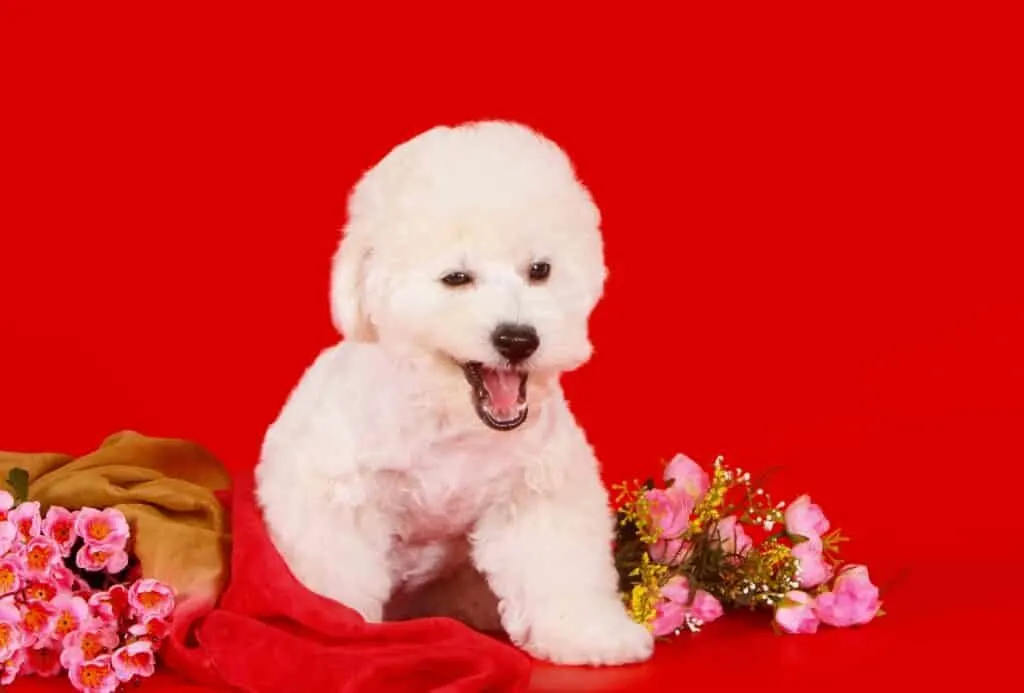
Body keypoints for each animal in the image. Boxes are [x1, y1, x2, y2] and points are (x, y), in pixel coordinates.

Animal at [256, 118, 655, 663]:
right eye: (456, 279)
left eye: (540, 270)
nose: (517, 339)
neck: (451, 421)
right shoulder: (337, 499)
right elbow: (335, 578)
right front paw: (338, 633)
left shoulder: (538, 491)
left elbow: (558, 566)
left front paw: (590, 633)